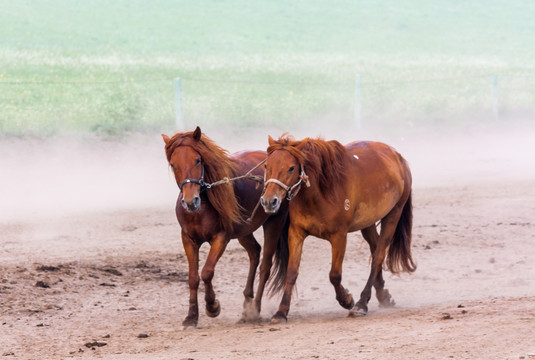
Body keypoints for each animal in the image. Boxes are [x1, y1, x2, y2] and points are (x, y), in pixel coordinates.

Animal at [162, 127, 288, 330]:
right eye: (173, 165)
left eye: (197, 160)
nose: (190, 202)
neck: (201, 209)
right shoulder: (188, 239)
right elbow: (193, 277)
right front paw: (191, 316)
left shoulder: (221, 238)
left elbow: (206, 272)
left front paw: (212, 306)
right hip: (244, 230)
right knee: (254, 252)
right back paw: (247, 302)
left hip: (274, 222)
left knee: (265, 266)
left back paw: (254, 309)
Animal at [262, 134, 416, 324]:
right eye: (267, 165)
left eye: (291, 168)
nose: (269, 201)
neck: (321, 191)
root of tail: (397, 156)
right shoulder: (296, 233)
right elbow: (291, 273)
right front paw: (281, 312)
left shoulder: (339, 237)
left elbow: (334, 275)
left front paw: (347, 300)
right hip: (368, 223)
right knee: (375, 251)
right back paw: (383, 296)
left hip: (393, 216)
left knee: (378, 257)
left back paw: (361, 303)